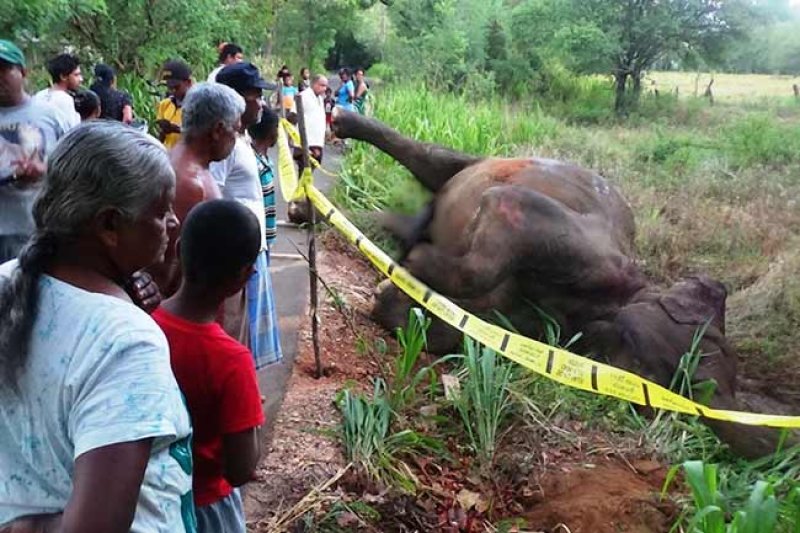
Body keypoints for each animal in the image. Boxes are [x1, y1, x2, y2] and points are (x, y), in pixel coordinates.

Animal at [330, 108, 786, 458]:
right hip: (491, 163)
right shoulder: (560, 236)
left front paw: (395, 291)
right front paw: (413, 258)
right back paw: (345, 128)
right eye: (707, 348)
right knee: (434, 159)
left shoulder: (526, 322)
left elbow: (442, 325)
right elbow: (487, 243)